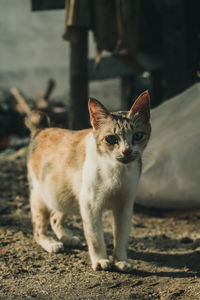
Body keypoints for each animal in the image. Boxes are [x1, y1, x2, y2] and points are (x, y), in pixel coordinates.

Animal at [25, 91, 150, 272]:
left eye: (138, 136)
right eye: (111, 139)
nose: (126, 151)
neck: (117, 172)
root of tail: (42, 129)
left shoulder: (125, 204)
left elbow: (121, 236)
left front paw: (121, 260)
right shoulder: (91, 205)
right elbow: (95, 237)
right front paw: (100, 260)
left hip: (66, 197)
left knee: (55, 217)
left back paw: (67, 238)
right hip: (42, 198)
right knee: (38, 228)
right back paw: (51, 243)